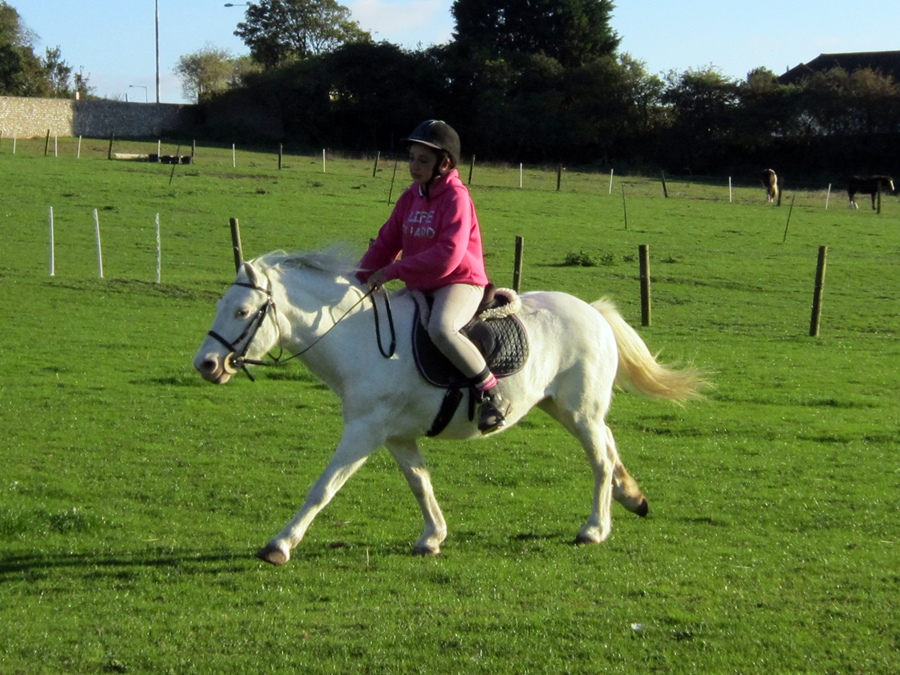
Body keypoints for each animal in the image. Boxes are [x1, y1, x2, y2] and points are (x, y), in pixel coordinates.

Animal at [193, 250, 706, 566]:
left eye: (242, 312)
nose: (207, 364)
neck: (358, 339)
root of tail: (594, 312)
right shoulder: (396, 436)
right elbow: (421, 484)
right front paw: (433, 537)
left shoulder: (363, 432)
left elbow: (323, 488)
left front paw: (280, 544)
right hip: (565, 407)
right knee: (610, 445)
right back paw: (630, 496)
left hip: (579, 411)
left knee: (599, 459)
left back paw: (594, 529)